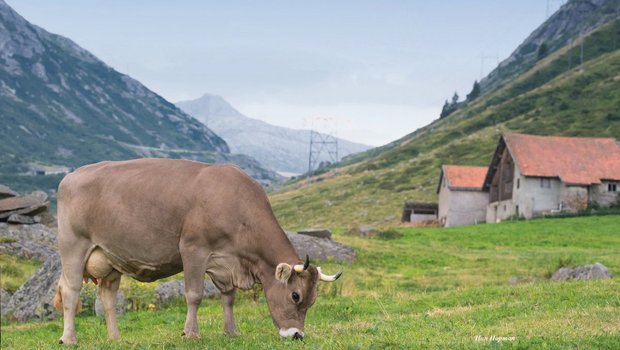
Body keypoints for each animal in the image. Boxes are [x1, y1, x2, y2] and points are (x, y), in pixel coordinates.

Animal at [54, 159, 342, 344]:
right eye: (295, 295)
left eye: (312, 300)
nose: (297, 335)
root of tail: (71, 176)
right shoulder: (193, 249)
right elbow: (194, 295)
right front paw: (190, 333)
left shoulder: (226, 261)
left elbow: (228, 298)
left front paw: (231, 332)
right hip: (73, 245)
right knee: (71, 291)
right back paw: (69, 338)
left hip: (111, 256)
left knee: (108, 296)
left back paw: (115, 338)